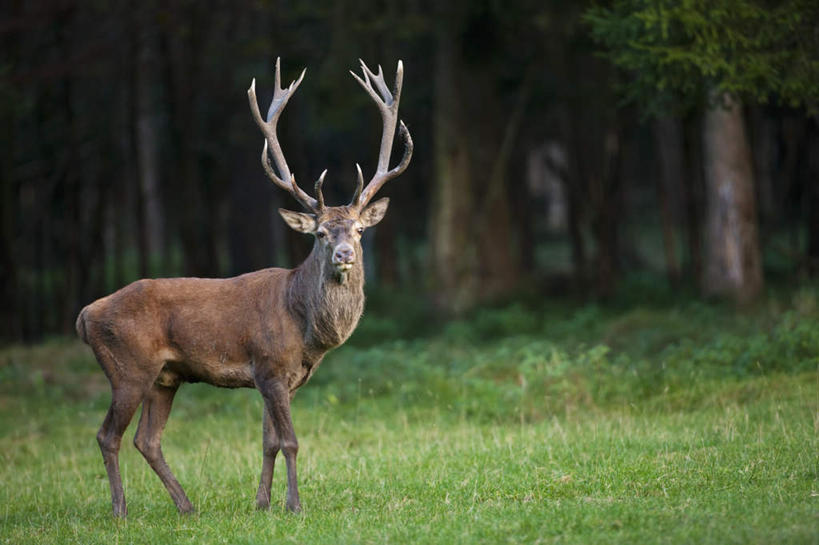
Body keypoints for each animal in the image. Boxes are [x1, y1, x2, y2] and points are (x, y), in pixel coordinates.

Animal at [74, 57, 414, 516]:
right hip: (128, 367)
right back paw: (120, 511)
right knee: (107, 434)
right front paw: (294, 505)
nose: (345, 254)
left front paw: (263, 504)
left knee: (147, 439)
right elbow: (290, 441)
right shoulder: (269, 366)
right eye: (321, 233)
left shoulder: (282, 379)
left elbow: (268, 441)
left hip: (165, 377)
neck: (305, 327)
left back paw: (186, 506)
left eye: (360, 230)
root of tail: (85, 316)